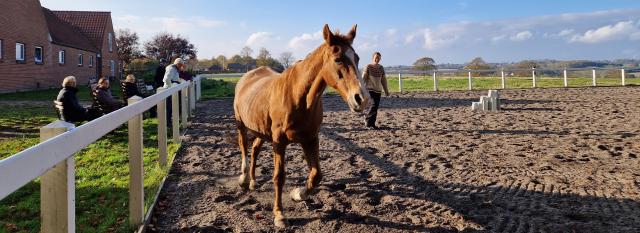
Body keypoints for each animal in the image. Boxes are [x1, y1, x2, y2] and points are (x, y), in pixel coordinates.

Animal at [232, 24, 368, 227]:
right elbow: (279, 177)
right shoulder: (279, 142)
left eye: (357, 58)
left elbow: (316, 175)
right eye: (338, 59)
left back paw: (254, 182)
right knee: (243, 147)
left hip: (262, 131)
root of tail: (246, 77)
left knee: (255, 149)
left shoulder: (310, 138)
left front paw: (298, 194)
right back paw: (244, 178)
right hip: (241, 124)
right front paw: (279, 214)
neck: (298, 97)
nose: (361, 98)